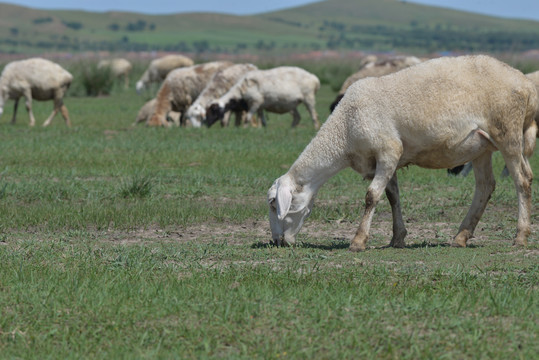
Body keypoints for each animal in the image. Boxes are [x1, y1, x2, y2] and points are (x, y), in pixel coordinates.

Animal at [268, 54, 536, 252]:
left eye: (273, 204)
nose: (276, 242)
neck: (344, 130)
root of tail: (525, 83)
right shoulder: (384, 159)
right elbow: (392, 197)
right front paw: (397, 238)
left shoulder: (388, 150)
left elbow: (371, 196)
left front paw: (358, 241)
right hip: (482, 145)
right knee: (485, 186)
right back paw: (461, 236)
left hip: (508, 133)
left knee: (522, 180)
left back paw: (520, 237)